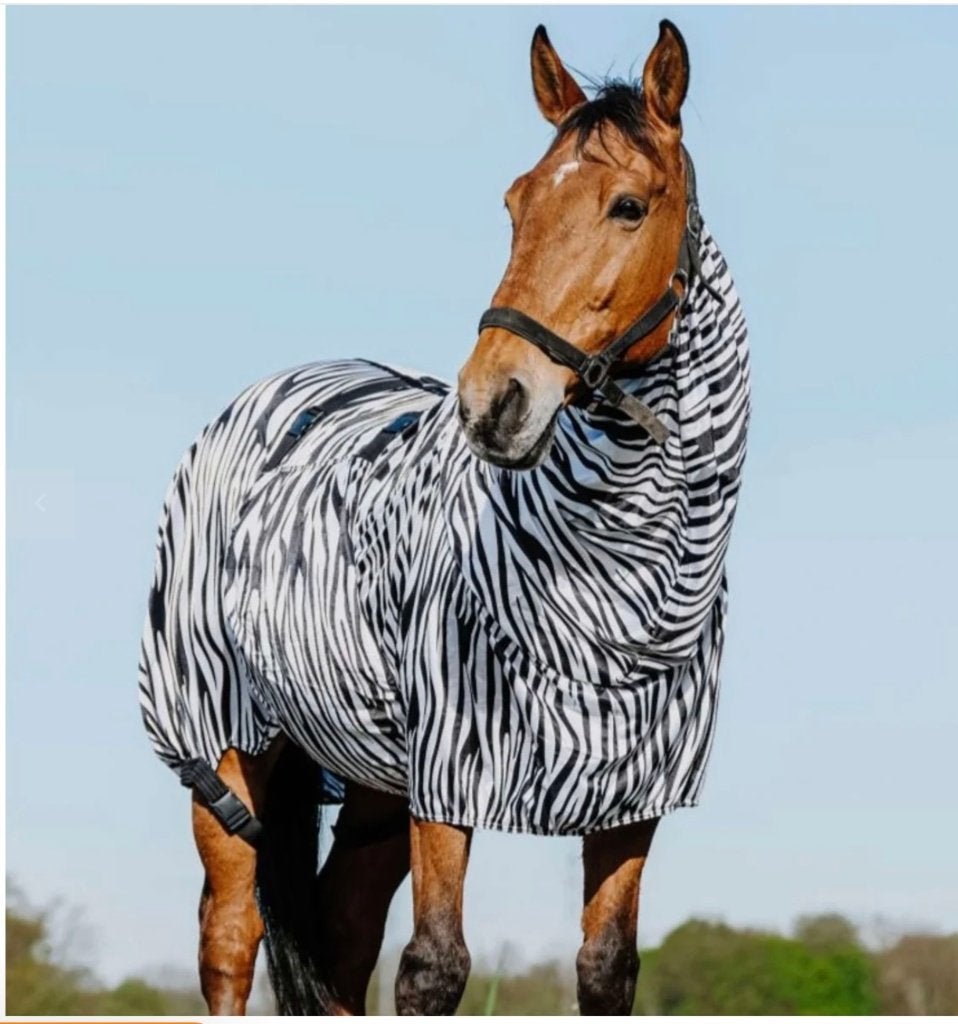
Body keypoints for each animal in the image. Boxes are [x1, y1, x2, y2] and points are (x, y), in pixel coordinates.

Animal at [138, 19, 749, 1016]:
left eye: (628, 205)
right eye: (514, 204)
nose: (492, 401)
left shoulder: (634, 798)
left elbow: (606, 967)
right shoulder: (448, 780)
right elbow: (433, 966)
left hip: (370, 783)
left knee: (341, 938)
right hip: (222, 753)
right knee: (230, 939)